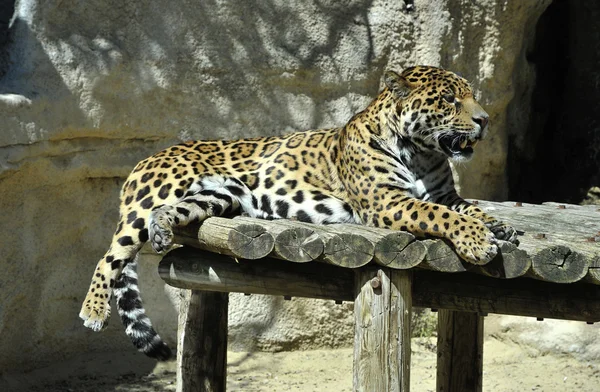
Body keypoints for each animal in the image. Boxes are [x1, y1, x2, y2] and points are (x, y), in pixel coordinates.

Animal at [78, 66, 516, 360]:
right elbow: (442, 216)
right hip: (157, 193)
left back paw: (163, 230)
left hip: (218, 198)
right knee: (111, 254)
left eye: (470, 97)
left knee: (170, 214)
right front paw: (478, 241)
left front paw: (500, 227)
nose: (485, 120)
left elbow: (468, 207)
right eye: (449, 100)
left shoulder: (445, 193)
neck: (423, 152)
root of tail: (149, 155)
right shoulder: (388, 202)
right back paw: (93, 310)